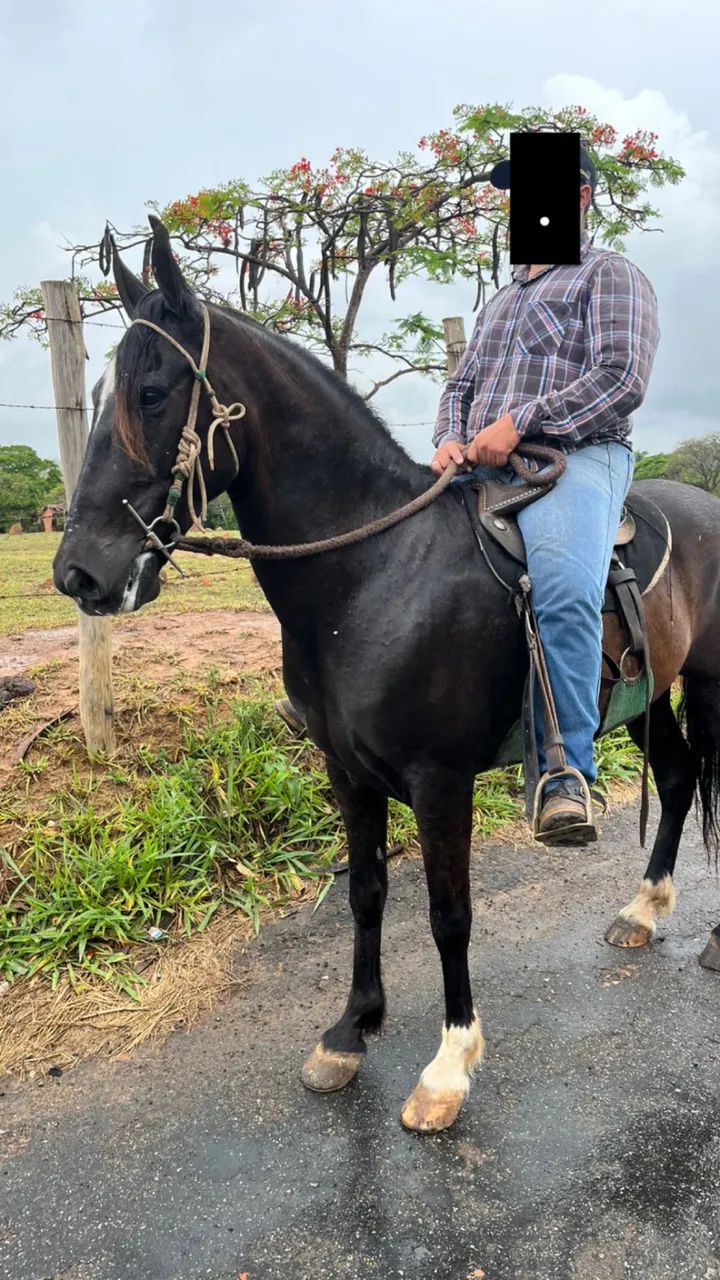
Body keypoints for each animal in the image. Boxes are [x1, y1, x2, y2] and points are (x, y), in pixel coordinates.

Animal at [53, 216, 720, 1133]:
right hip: (646, 694)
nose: (77, 573)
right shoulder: (346, 771)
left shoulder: (440, 781)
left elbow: (447, 914)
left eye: (151, 394)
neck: (373, 571)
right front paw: (350, 1031)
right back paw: (643, 911)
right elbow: (367, 891)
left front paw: (447, 1069)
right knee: (683, 776)